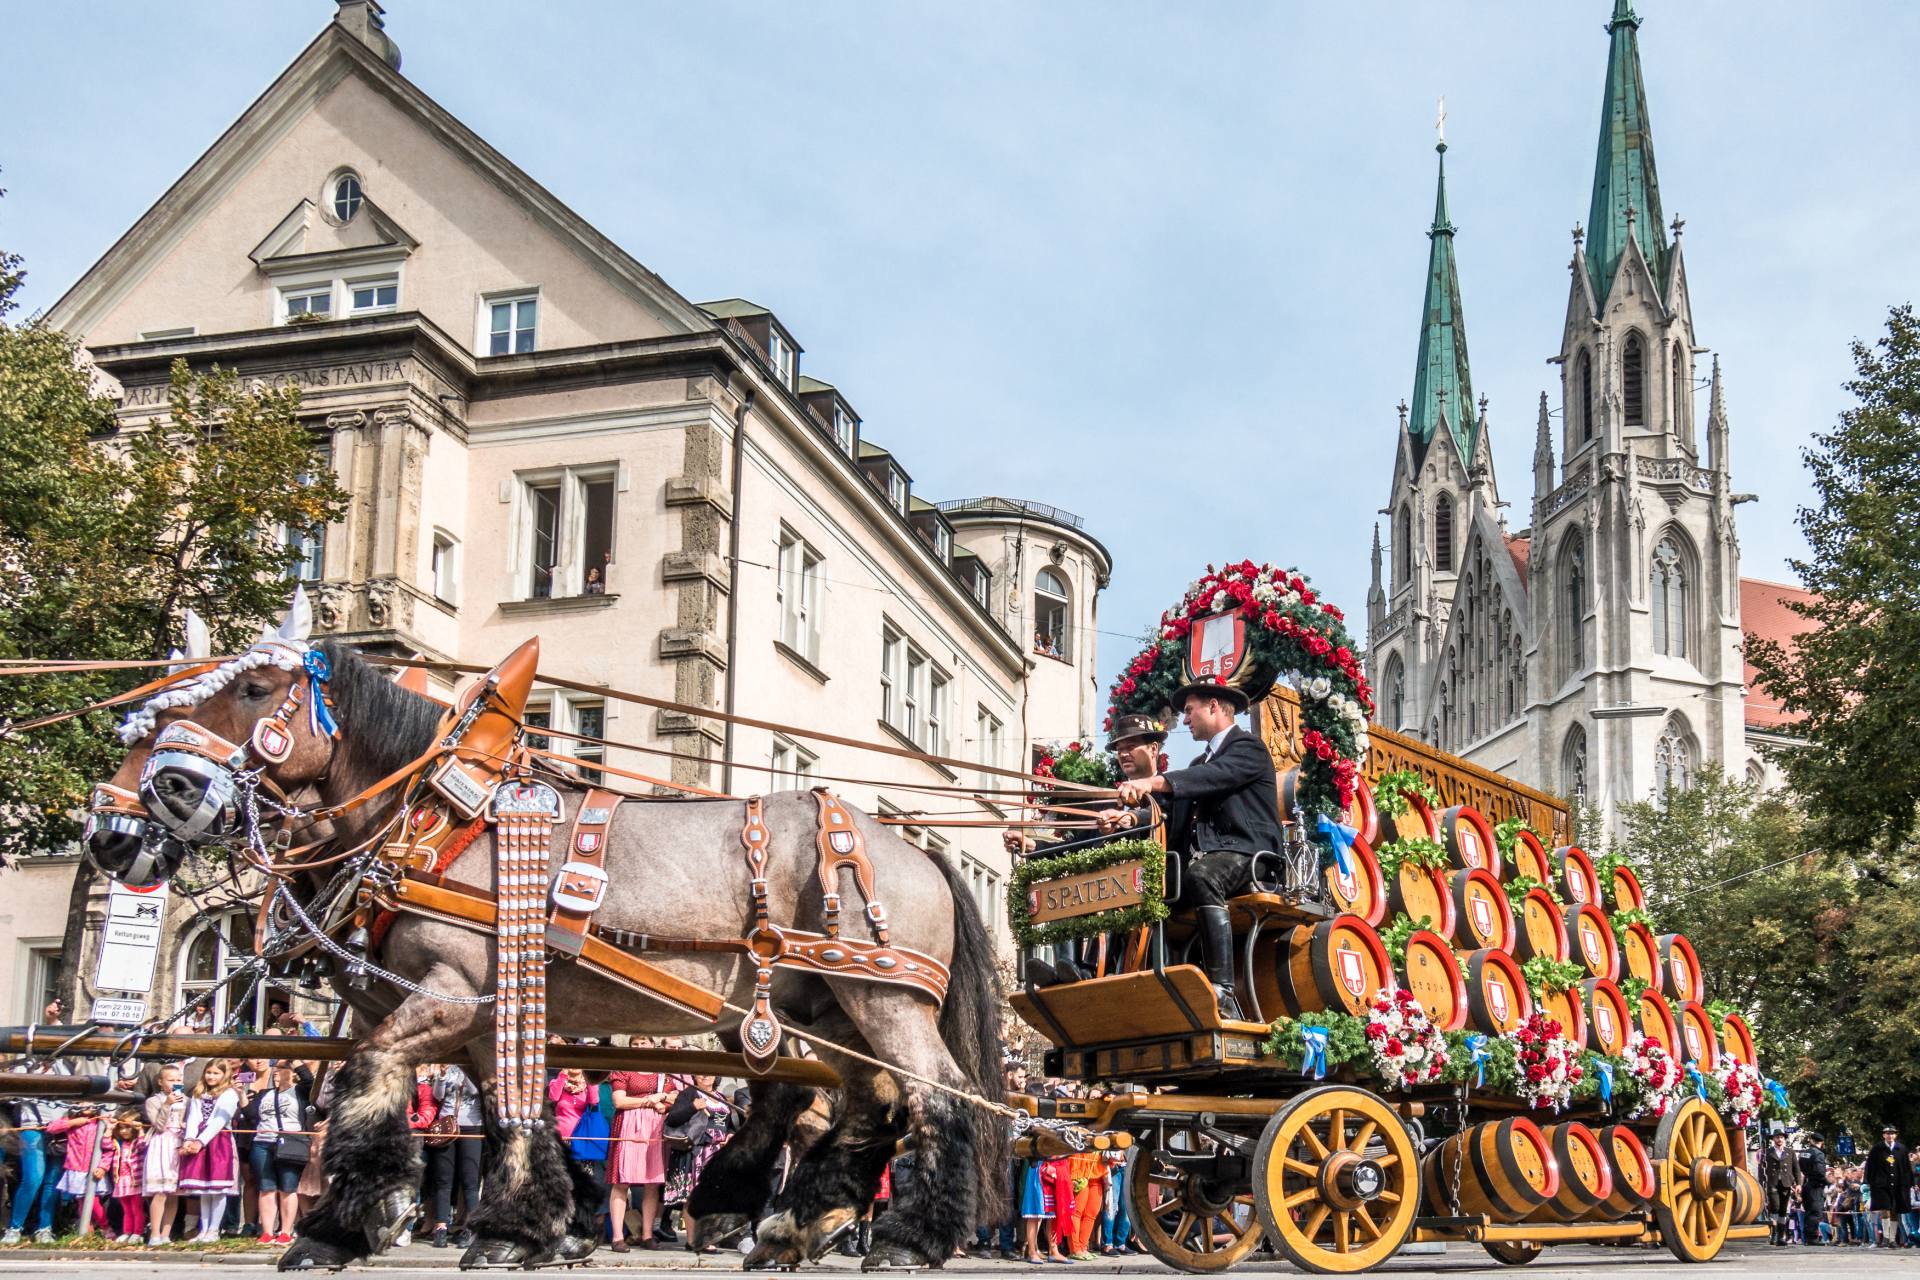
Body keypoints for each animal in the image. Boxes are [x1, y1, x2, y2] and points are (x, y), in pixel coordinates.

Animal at [93, 610, 1006, 1274]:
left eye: (253, 689)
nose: (117, 830)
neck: (438, 821)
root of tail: (913, 847)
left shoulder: (450, 992)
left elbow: (366, 1074)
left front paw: (346, 1224)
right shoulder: (476, 1013)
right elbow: (510, 1108)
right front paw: (536, 1224)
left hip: (882, 996)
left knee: (941, 1097)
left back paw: (907, 1236)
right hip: (824, 1007)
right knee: (862, 1101)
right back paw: (784, 1220)